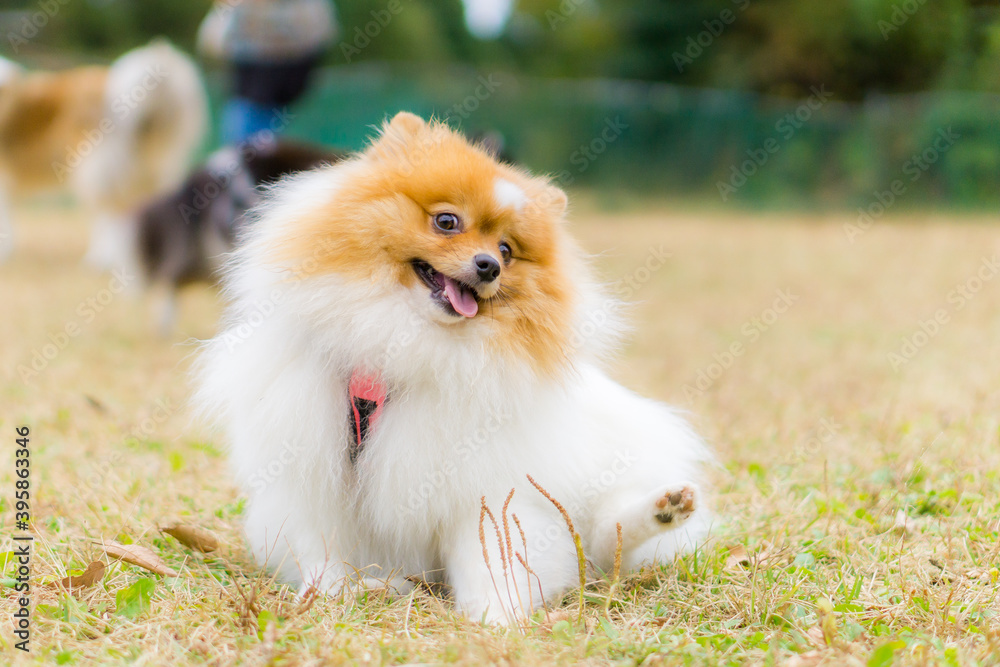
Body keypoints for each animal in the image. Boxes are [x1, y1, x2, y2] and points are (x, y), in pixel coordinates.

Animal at [195, 112, 712, 624]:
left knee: (606, 538)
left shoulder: (481, 480)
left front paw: (493, 618)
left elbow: (490, 558)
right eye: (447, 221)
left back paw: (664, 507)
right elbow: (320, 547)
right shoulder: (309, 466)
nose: (488, 267)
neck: (405, 340)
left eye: (506, 251)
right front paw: (326, 595)